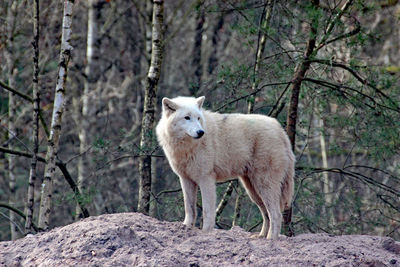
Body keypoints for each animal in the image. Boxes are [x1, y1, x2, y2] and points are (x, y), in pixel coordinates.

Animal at [156, 96, 294, 241]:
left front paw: (206, 232)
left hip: (263, 185)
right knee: (267, 214)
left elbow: (207, 210)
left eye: (198, 118)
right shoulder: (186, 179)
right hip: (253, 190)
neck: (186, 147)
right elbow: (189, 208)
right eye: (187, 117)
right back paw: (261, 236)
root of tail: (280, 130)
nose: (201, 132)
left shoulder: (206, 179)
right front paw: (186, 227)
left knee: (276, 214)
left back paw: (271, 239)